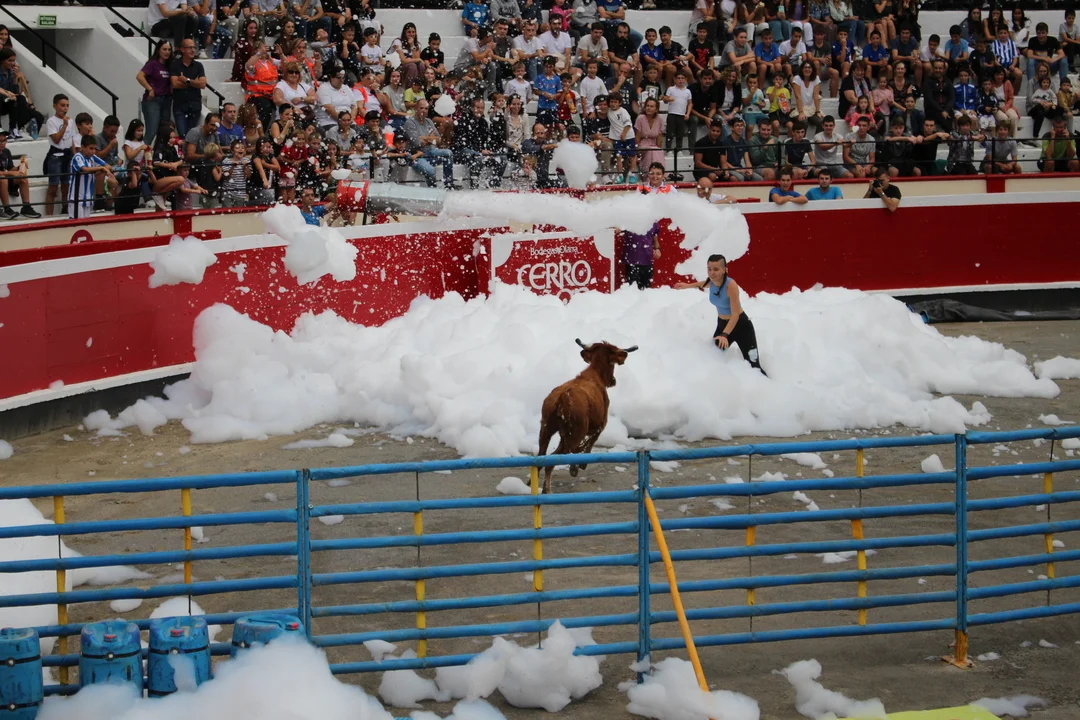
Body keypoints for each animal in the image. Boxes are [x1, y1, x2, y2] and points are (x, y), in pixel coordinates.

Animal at [537, 339, 638, 494]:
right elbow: (589, 444)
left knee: (540, 459)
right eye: (613, 364)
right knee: (556, 458)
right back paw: (550, 486)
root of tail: (562, 398)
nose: (613, 380)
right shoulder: (601, 425)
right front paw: (581, 465)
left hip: (546, 428)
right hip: (576, 432)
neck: (596, 374)